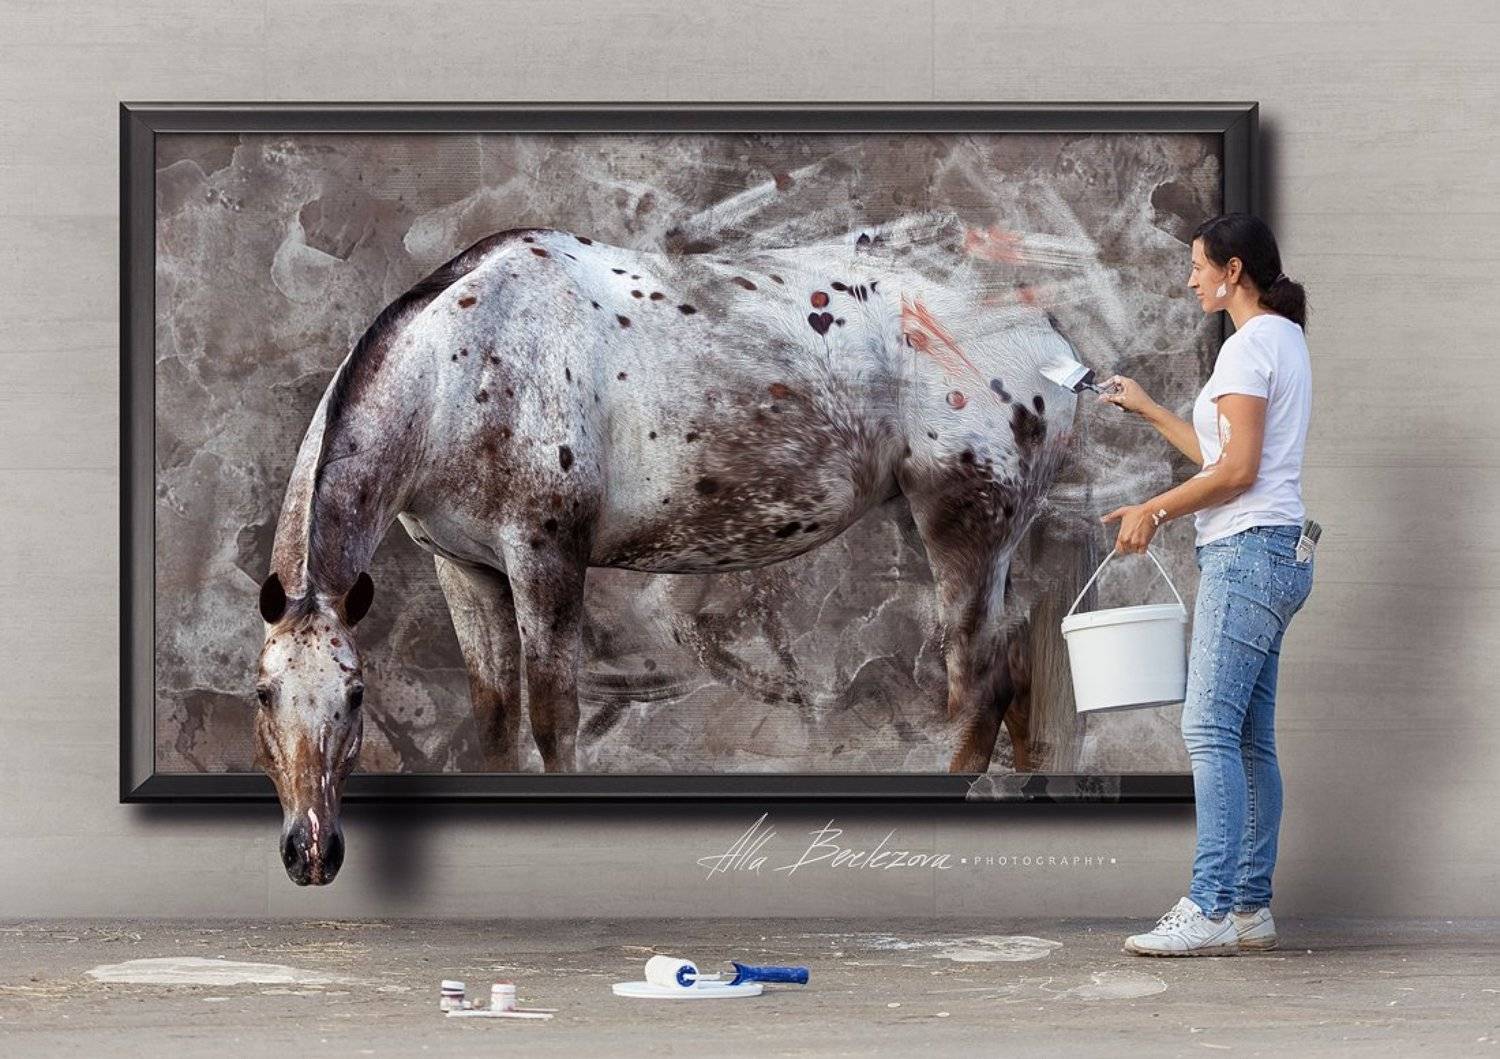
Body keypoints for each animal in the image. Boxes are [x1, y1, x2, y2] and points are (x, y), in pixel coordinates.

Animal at [254, 224, 1085, 884]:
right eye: (264, 695)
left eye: (355, 695)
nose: (312, 853)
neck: (463, 366)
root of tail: (1047, 333)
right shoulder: (465, 570)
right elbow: (494, 719)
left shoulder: (545, 560)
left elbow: (553, 717)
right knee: (1014, 674)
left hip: (964, 528)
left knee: (979, 686)